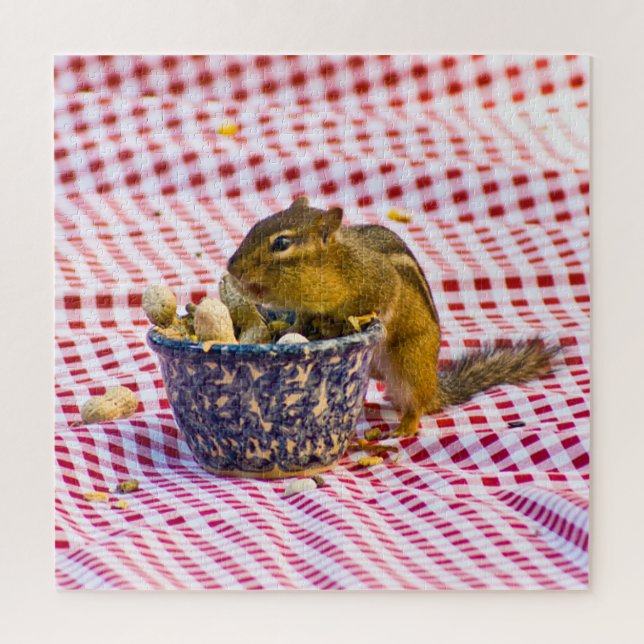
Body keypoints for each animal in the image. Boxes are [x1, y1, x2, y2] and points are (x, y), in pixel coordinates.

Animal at [226, 196, 560, 437]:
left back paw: (404, 427)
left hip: (409, 360)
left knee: (417, 404)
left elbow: (379, 302)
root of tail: (434, 385)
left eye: (281, 243)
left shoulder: (381, 281)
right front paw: (292, 325)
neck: (336, 263)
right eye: (256, 225)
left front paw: (343, 321)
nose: (232, 268)